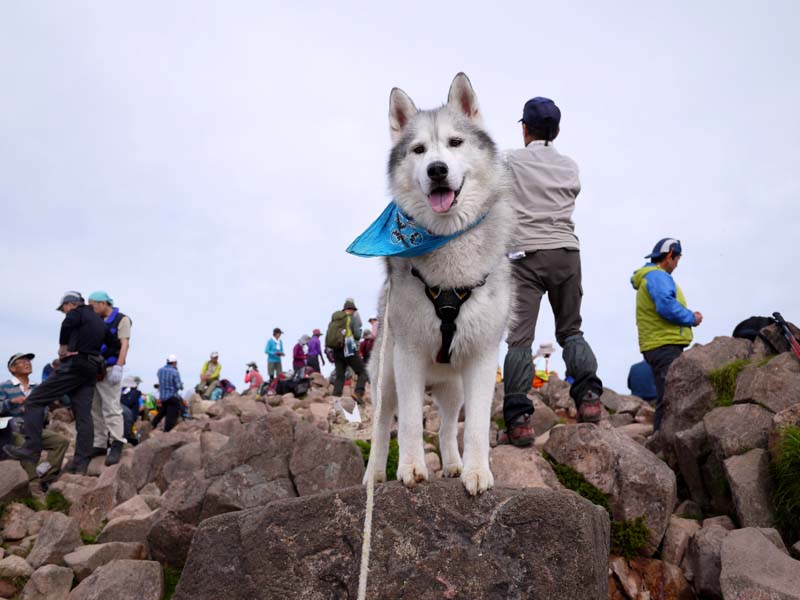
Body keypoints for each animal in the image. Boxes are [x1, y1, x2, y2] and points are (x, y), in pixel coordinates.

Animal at [364, 72, 512, 494]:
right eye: (418, 149)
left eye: (455, 142)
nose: (437, 169)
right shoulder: (409, 355)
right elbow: (411, 424)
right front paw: (411, 468)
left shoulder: (482, 357)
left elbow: (475, 427)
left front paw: (476, 471)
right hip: (386, 377)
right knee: (382, 427)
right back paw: (373, 475)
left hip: (453, 387)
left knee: (447, 427)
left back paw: (453, 464)